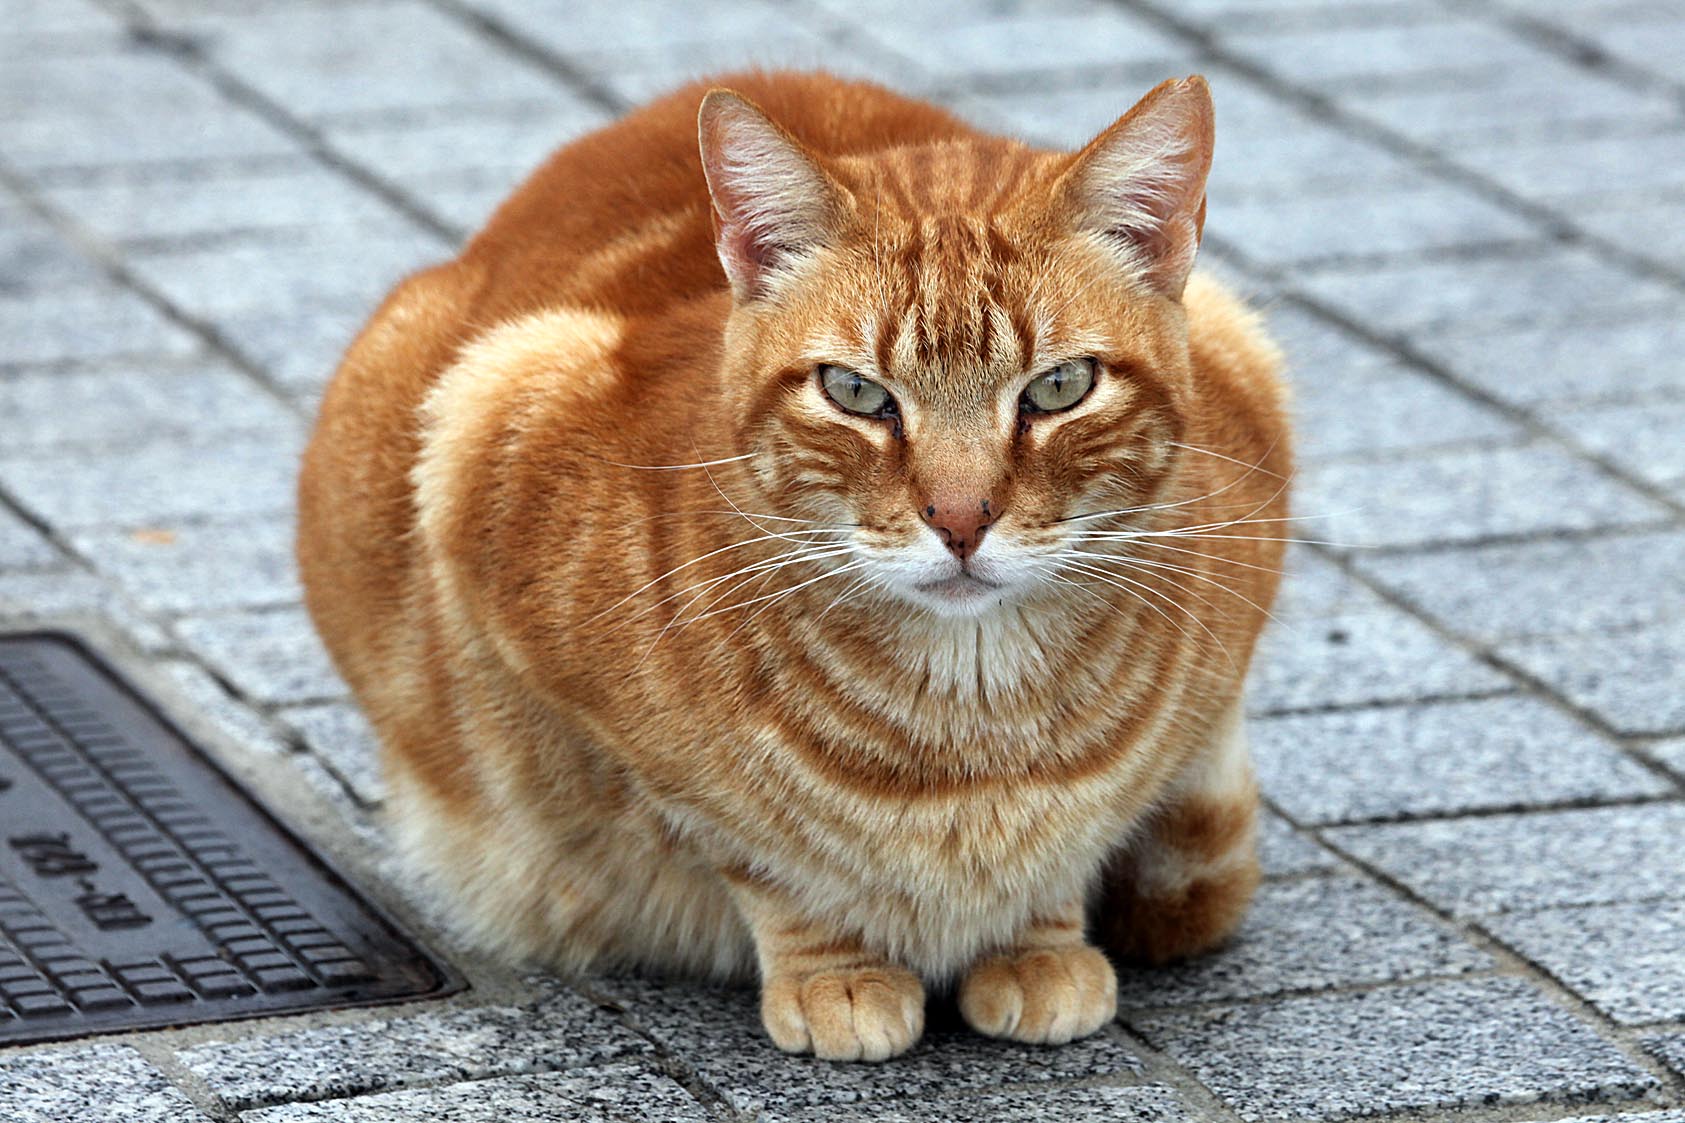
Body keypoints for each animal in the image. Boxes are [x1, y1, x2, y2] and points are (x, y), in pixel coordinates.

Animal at [299, 67, 1287, 1058]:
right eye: (854, 392)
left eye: (1058, 387)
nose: (960, 519)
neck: (975, 735)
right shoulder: (491, 435)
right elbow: (751, 849)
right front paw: (834, 967)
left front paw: (1035, 935)